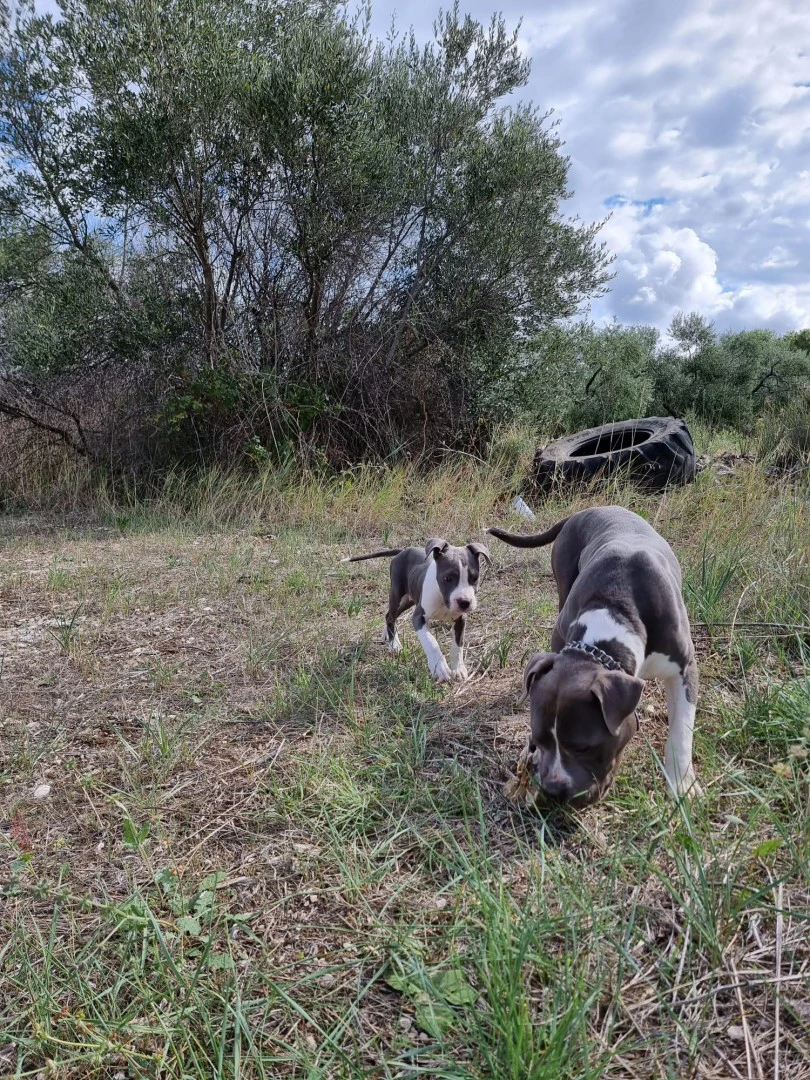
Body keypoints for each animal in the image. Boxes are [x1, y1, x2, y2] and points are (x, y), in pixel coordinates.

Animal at [341, 540, 488, 682]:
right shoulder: (419, 617)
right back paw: (394, 645)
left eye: (474, 578)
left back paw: (387, 635)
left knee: (389, 615)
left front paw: (458, 669)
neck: (442, 599)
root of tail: (404, 551)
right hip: (397, 594)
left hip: (409, 599)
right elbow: (431, 642)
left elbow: (458, 646)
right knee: (391, 616)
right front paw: (439, 667)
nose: (464, 602)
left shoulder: (460, 620)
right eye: (448, 578)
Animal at [488, 509, 704, 807]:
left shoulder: (684, 668)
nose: (553, 792)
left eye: (583, 747)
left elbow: (681, 731)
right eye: (537, 739)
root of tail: (586, 510)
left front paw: (682, 783)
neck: (616, 607)